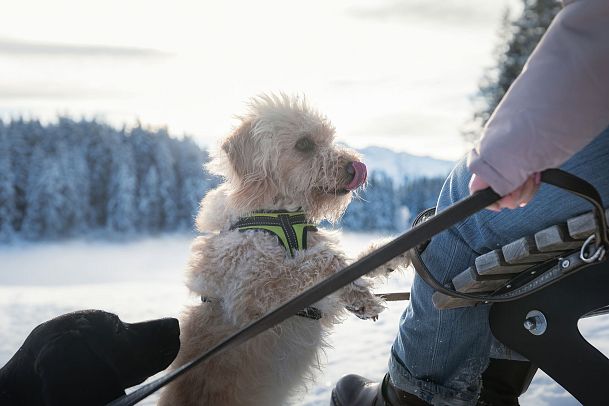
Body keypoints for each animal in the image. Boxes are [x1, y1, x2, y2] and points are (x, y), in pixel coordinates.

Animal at [159, 93, 410, 404]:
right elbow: (325, 260)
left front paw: (396, 253)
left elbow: (356, 261)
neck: (281, 215)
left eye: (329, 139)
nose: (356, 167)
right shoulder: (254, 294)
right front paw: (361, 296)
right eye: (304, 144)